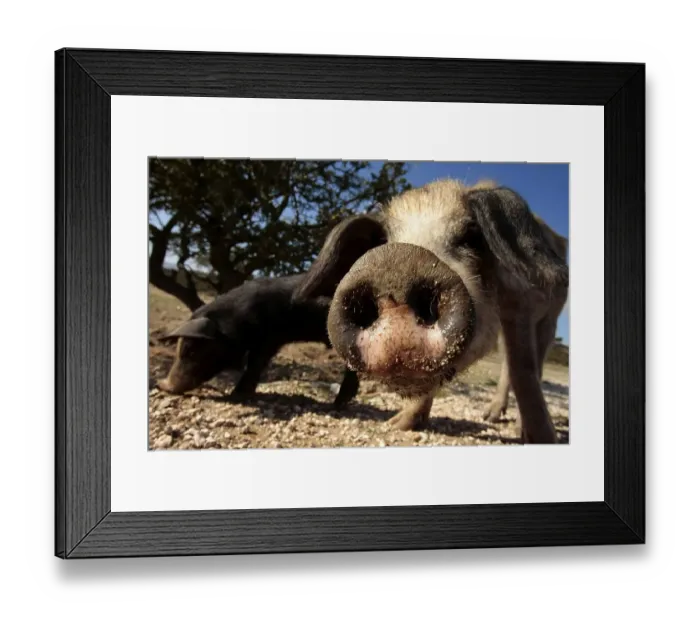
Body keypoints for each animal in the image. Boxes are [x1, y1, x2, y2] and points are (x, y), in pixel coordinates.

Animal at [156, 273, 360, 408]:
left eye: (190, 350)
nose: (162, 385)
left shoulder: (266, 340)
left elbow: (254, 364)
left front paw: (236, 395)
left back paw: (338, 403)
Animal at [292, 179, 569, 444]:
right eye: (382, 242)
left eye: (471, 237)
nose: (396, 264)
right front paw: (395, 425)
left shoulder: (521, 304)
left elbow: (523, 369)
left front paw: (545, 440)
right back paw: (488, 416)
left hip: (551, 318)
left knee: (532, 362)